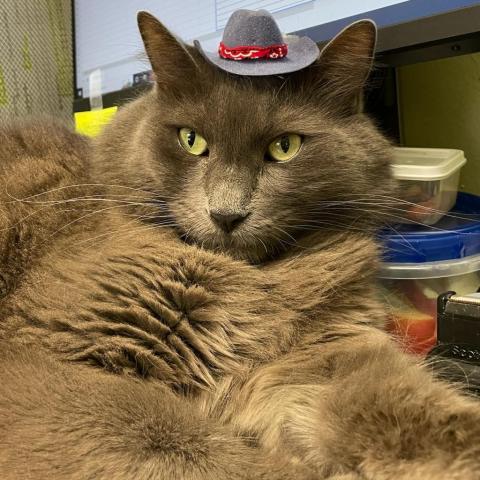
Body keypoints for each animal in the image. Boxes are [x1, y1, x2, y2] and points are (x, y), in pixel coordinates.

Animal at [0, 11, 480, 480]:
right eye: (191, 140)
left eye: (284, 146)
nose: (226, 214)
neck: (254, 282)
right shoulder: (52, 359)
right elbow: (193, 451)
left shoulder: (325, 353)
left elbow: (408, 410)